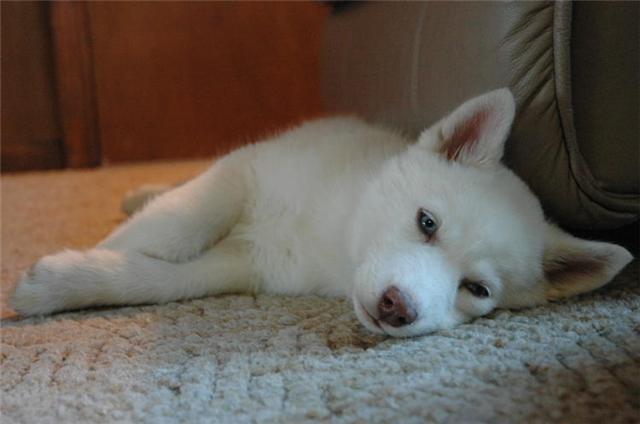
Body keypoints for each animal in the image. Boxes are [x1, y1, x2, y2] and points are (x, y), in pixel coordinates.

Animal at [12, 89, 632, 338]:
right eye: (426, 223)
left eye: (476, 290)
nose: (398, 309)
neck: (333, 236)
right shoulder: (250, 167)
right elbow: (183, 221)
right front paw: (123, 240)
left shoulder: (250, 265)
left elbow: (159, 281)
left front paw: (70, 280)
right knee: (180, 189)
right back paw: (138, 195)